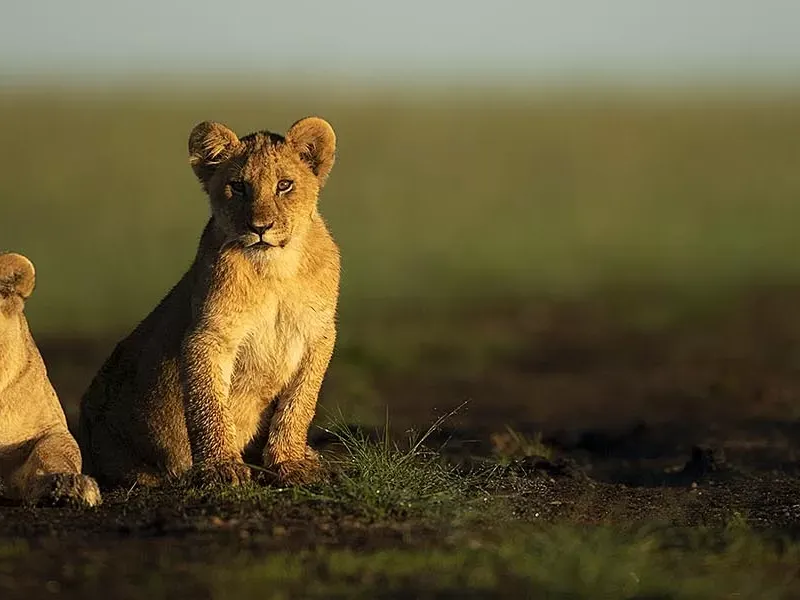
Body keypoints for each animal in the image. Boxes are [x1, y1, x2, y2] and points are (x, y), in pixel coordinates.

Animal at [79, 117, 340, 489]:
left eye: (284, 185)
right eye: (238, 187)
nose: (260, 227)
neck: (275, 269)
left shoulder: (318, 334)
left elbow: (299, 404)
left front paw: (290, 461)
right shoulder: (208, 334)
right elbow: (209, 406)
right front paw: (222, 467)